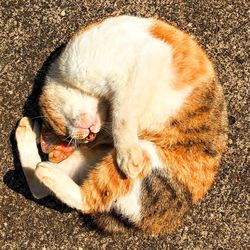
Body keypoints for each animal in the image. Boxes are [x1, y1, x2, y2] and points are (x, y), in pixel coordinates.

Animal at [14, 15, 228, 234]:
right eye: (71, 138)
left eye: (66, 133)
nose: (90, 135)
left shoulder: (147, 59)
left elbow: (122, 114)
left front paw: (128, 156)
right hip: (102, 159)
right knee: (56, 191)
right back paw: (28, 139)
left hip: (141, 159)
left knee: (86, 200)